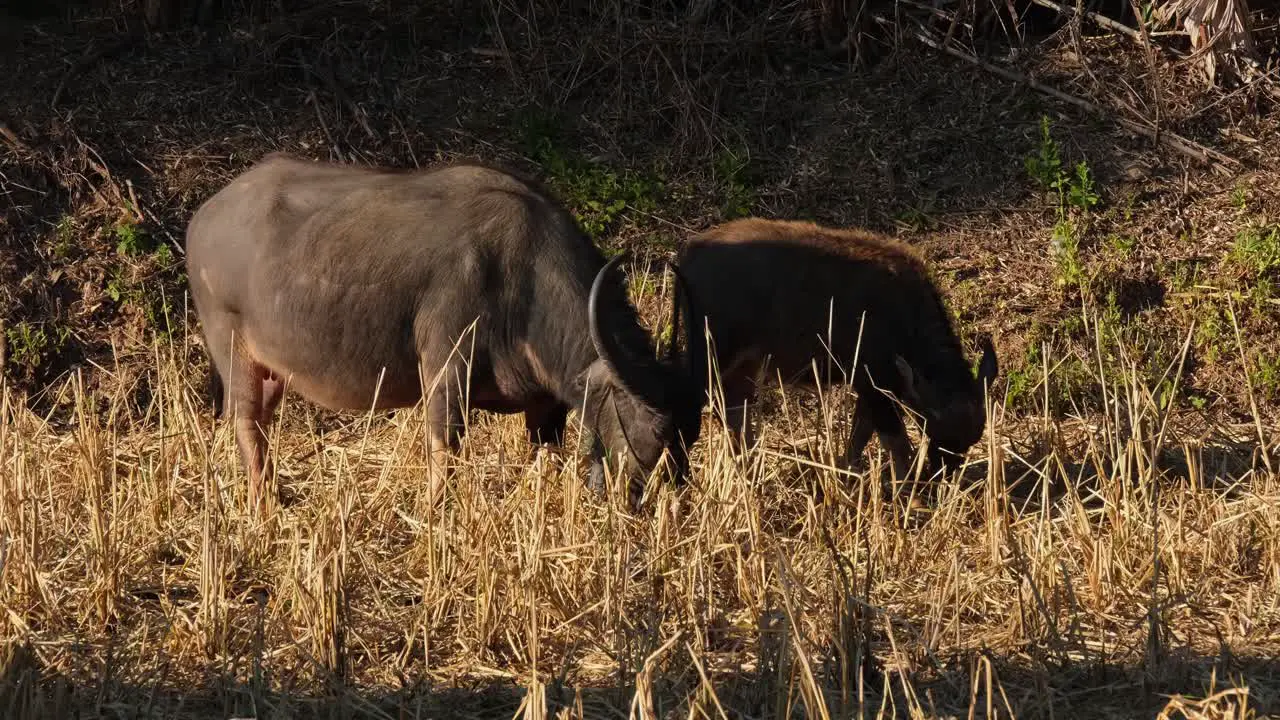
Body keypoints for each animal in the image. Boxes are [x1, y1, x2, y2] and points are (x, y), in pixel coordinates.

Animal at [186, 151, 711, 509]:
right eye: (656, 430)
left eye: (692, 432)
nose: (671, 500)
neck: (522, 279)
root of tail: (204, 216)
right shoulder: (446, 366)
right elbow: (447, 447)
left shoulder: (545, 406)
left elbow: (546, 455)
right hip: (230, 347)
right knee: (246, 423)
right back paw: (262, 504)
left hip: (273, 370)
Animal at [675, 215, 993, 479]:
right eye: (933, 427)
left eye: (970, 439)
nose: (942, 474)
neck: (901, 318)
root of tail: (690, 253)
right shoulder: (875, 385)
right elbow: (896, 441)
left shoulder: (869, 388)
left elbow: (860, 433)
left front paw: (847, 469)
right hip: (711, 355)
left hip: (743, 366)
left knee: (735, 411)